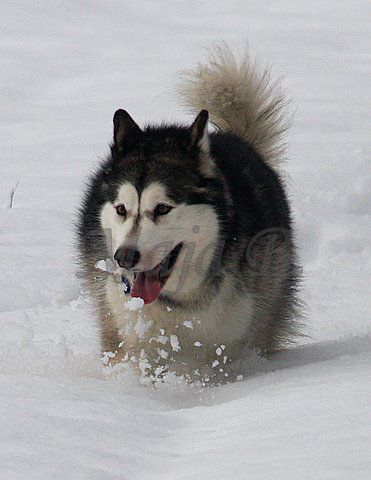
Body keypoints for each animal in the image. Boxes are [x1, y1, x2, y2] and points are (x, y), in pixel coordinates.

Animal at [76, 44, 302, 382]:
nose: (124, 257)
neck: (176, 302)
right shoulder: (124, 324)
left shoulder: (231, 337)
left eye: (162, 208)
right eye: (121, 209)